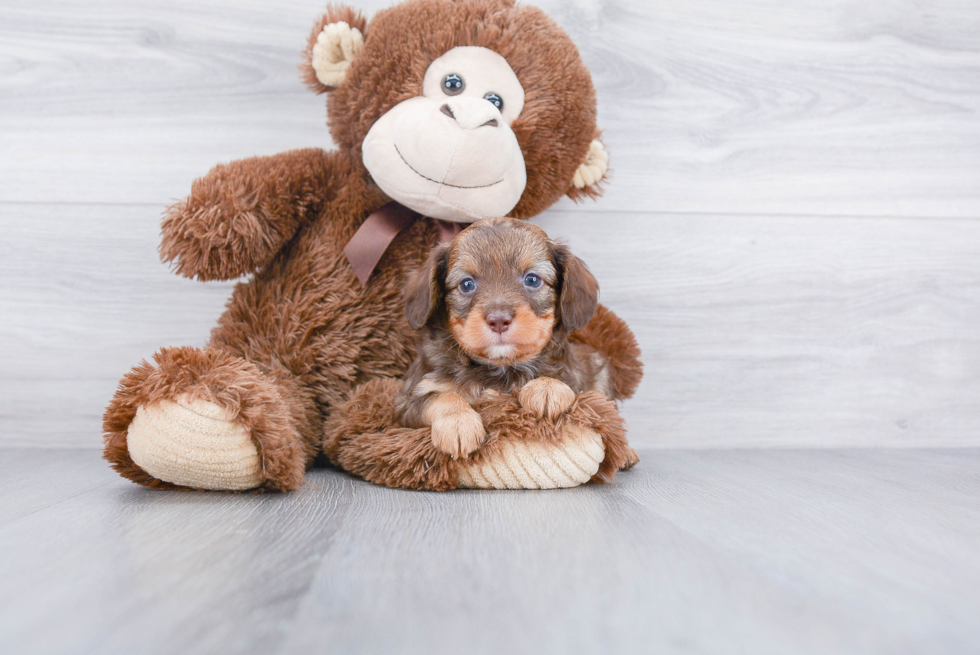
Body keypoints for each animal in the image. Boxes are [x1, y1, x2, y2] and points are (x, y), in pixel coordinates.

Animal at [392, 218, 612, 458]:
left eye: (532, 280)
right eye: (466, 284)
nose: (498, 320)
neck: (500, 368)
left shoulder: (578, 380)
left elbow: (562, 380)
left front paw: (546, 388)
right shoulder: (404, 403)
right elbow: (439, 397)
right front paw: (458, 423)